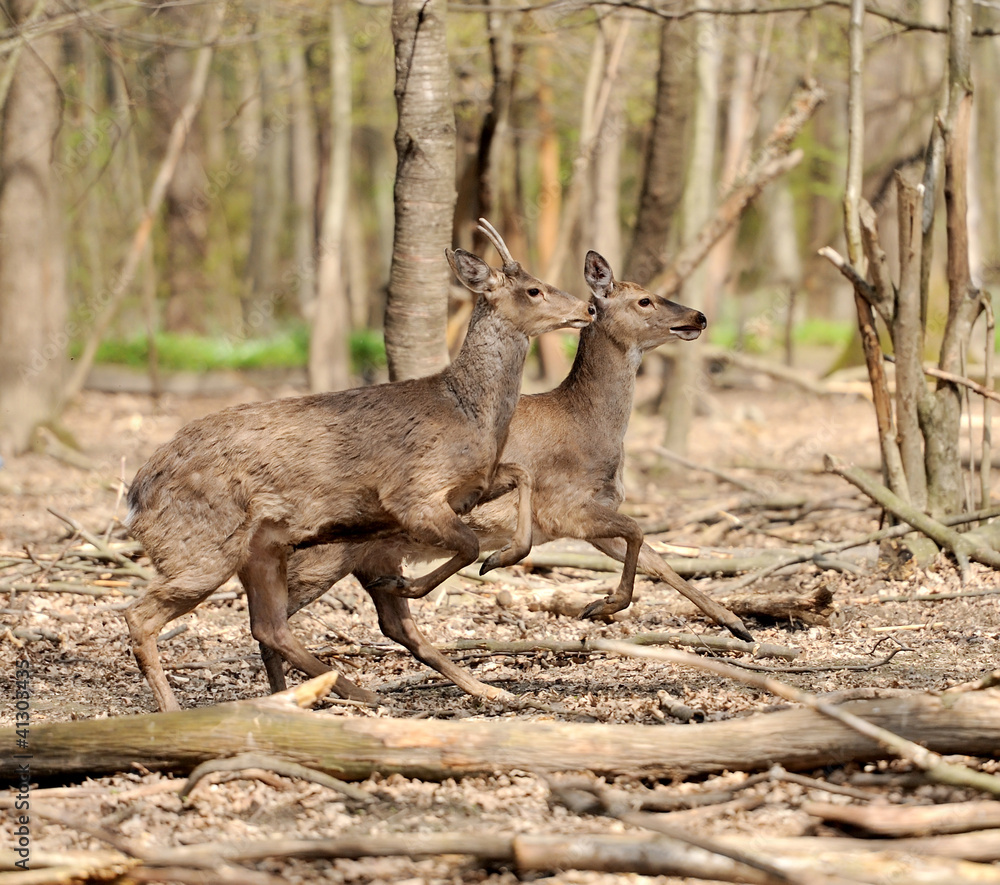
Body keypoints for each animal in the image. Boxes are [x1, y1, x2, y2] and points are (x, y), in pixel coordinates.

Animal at [124, 221, 592, 712]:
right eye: (534, 290)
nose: (588, 307)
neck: (469, 413)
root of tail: (135, 499)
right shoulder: (413, 492)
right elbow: (466, 544)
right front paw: (410, 584)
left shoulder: (472, 486)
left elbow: (521, 478)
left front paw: (496, 559)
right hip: (202, 547)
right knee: (142, 615)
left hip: (261, 548)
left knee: (267, 625)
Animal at [258, 249, 752, 704]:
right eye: (645, 300)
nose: (699, 316)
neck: (592, 429)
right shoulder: (569, 507)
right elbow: (639, 532)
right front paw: (598, 606)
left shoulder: (587, 518)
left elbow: (655, 558)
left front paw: (738, 626)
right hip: (324, 555)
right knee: (274, 616)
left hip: (371, 554)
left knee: (391, 623)